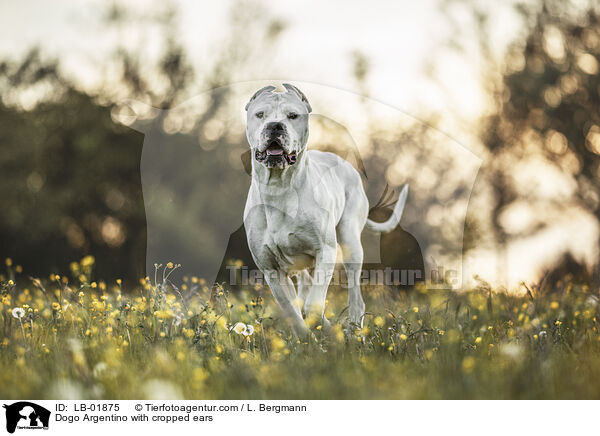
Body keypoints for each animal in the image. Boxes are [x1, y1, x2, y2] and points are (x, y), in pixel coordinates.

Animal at [244, 86, 408, 338]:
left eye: (293, 115)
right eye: (260, 114)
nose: (275, 126)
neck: (279, 188)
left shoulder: (326, 251)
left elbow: (313, 306)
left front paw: (327, 332)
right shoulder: (271, 269)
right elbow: (292, 311)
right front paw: (307, 340)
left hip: (350, 245)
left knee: (355, 297)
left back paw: (354, 330)